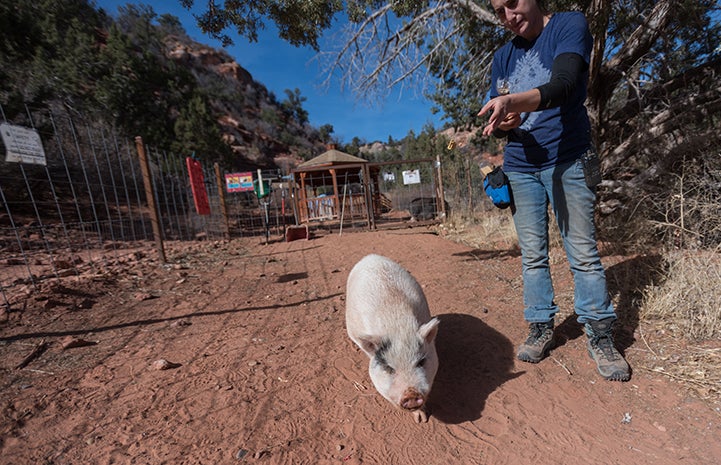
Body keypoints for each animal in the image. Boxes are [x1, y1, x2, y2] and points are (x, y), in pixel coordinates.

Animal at [344, 252, 438, 422]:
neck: (398, 326)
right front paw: (420, 420)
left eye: (421, 362)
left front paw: (422, 419)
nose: (411, 395)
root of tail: (371, 256)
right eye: (388, 367)